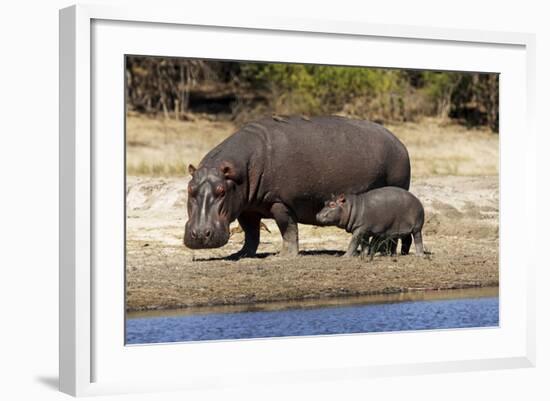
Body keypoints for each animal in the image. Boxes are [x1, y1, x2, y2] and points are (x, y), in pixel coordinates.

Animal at [184, 115, 410, 260]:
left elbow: (288, 229)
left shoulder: (280, 202)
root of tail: (399, 142)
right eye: (189, 189)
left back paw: (385, 253)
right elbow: (251, 233)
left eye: (221, 191)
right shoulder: (246, 207)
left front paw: (282, 256)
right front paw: (241, 254)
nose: (200, 235)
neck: (237, 172)